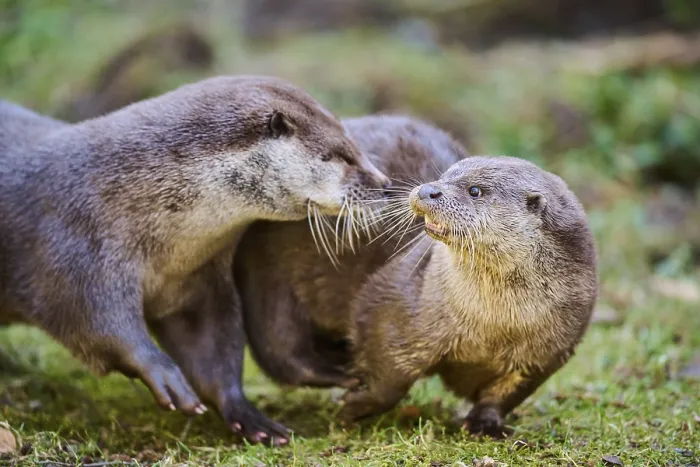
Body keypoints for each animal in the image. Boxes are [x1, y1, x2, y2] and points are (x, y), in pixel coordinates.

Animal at [0, 76, 389, 445]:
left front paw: (247, 413)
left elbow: (210, 345)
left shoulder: (196, 280)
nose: (385, 184)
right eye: (341, 156)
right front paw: (163, 373)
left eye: (356, 146)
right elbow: (94, 321)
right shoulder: (75, 245)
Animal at [237, 151, 597, 437]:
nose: (428, 189)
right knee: (282, 349)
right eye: (446, 174)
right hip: (270, 280)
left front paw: (486, 425)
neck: (495, 328)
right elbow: (391, 377)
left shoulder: (546, 353)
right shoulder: (397, 308)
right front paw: (354, 407)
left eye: (475, 190)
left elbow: (503, 394)